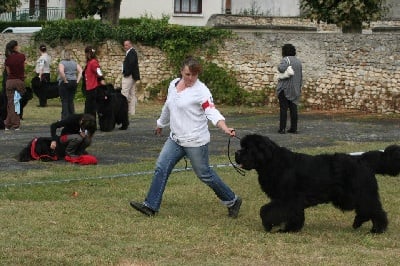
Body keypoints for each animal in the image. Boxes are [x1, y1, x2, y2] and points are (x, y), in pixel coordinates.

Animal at [234, 134, 400, 234]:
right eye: (242, 147)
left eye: (248, 148)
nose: (236, 153)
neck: (272, 161)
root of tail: (362, 159)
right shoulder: (289, 201)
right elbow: (293, 215)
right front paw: (291, 229)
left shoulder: (288, 199)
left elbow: (266, 210)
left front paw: (272, 226)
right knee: (367, 210)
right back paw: (358, 223)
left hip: (361, 193)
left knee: (375, 210)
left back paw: (377, 229)